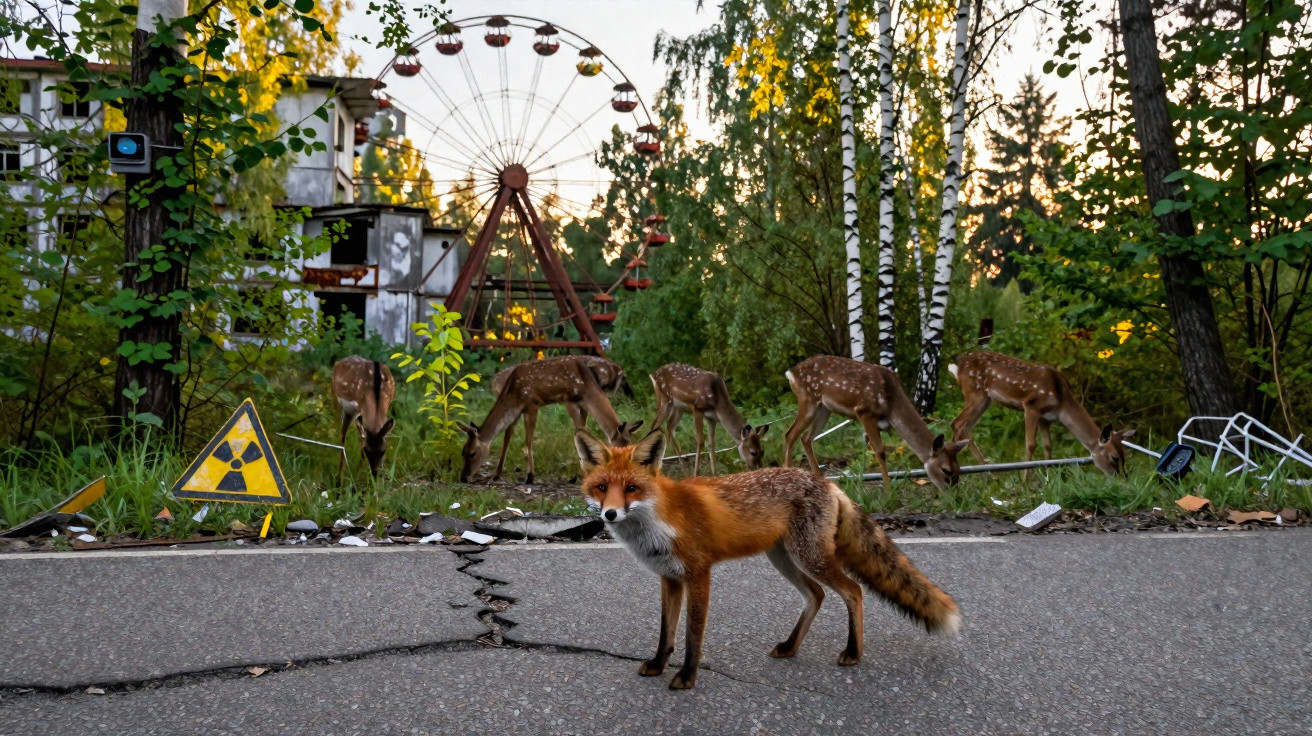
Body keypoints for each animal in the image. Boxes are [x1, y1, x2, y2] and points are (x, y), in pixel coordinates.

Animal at [575, 428, 962, 691]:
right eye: (601, 487)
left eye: (631, 488)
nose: (610, 514)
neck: (658, 521)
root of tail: (827, 482)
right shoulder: (669, 577)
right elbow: (665, 632)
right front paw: (658, 664)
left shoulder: (699, 573)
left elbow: (691, 635)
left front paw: (687, 676)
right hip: (783, 559)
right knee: (817, 595)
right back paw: (790, 647)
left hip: (810, 558)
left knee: (853, 591)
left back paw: (853, 653)